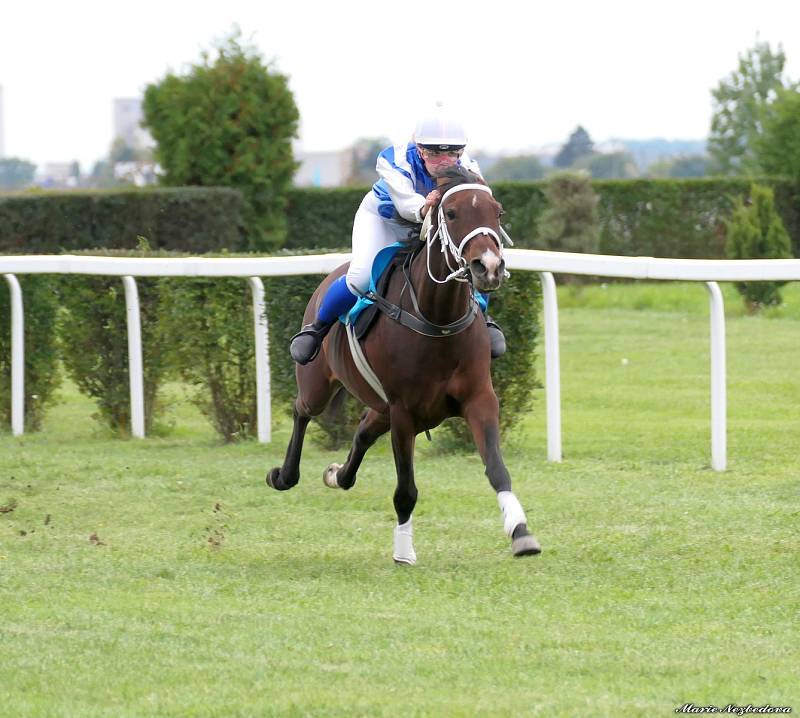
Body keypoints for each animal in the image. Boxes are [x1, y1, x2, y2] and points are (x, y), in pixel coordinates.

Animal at [266, 166, 540, 564]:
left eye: (497, 212)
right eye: (451, 213)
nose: (488, 267)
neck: (438, 319)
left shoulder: (478, 399)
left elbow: (497, 469)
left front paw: (521, 532)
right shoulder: (404, 411)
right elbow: (406, 490)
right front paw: (404, 552)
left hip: (380, 406)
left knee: (363, 431)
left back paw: (338, 474)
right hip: (320, 384)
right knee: (301, 409)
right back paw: (284, 474)